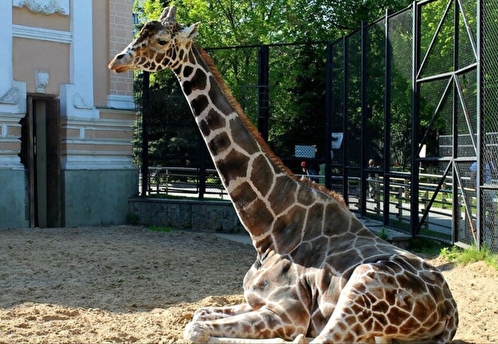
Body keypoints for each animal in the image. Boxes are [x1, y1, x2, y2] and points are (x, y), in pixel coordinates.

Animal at [110, 6, 460, 342]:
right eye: (140, 32)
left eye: (162, 41)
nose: (117, 61)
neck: (269, 229)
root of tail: (449, 309)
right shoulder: (253, 301)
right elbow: (199, 313)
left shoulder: (289, 314)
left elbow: (197, 329)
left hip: (363, 286)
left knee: (320, 340)